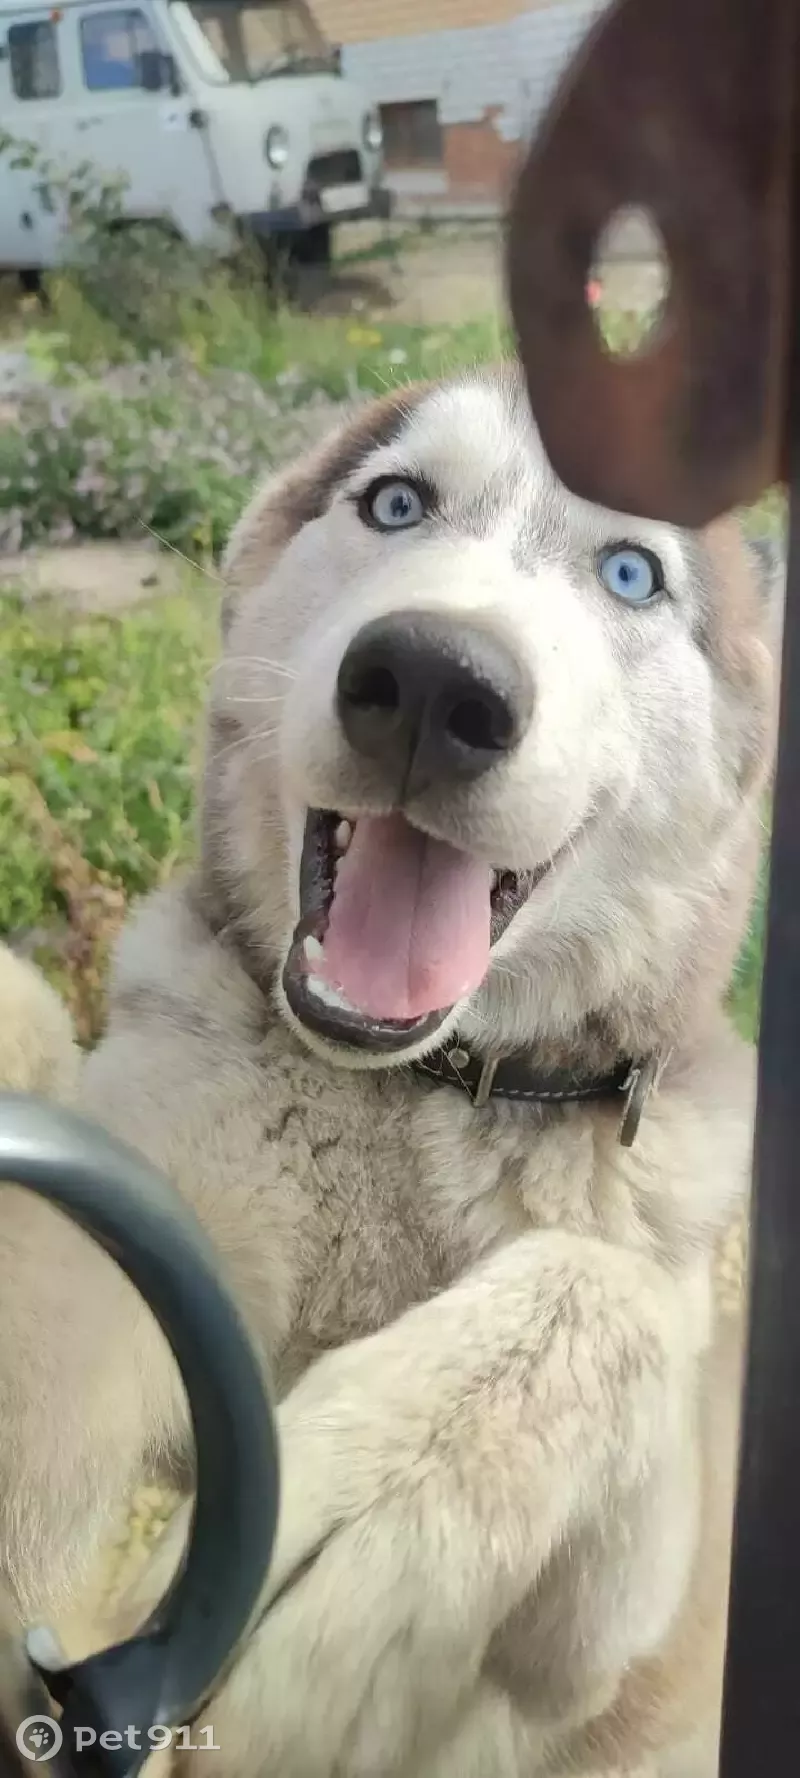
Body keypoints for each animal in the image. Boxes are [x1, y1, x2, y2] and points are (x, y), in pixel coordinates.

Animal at [0, 375, 775, 1778]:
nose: (430, 679)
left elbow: (598, 1286)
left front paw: (353, 1510)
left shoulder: (608, 1646)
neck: (413, 1093)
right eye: (397, 502)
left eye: (629, 572)